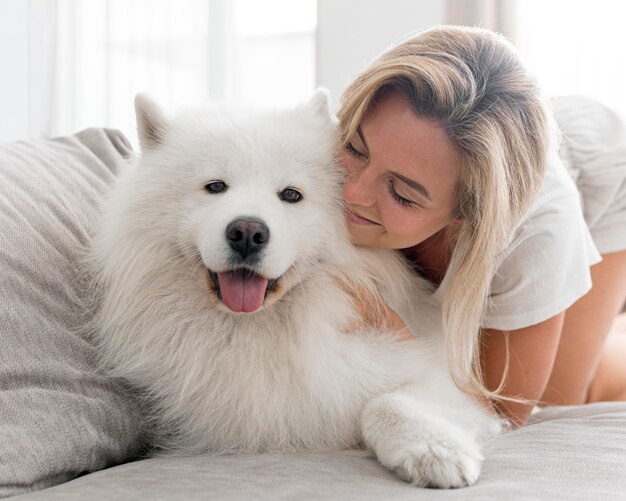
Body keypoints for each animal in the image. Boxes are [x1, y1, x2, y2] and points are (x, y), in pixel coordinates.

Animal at [86, 88, 498, 486]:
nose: (247, 232)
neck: (259, 330)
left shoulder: (439, 380)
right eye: (215, 186)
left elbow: (385, 402)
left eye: (290, 195)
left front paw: (435, 450)